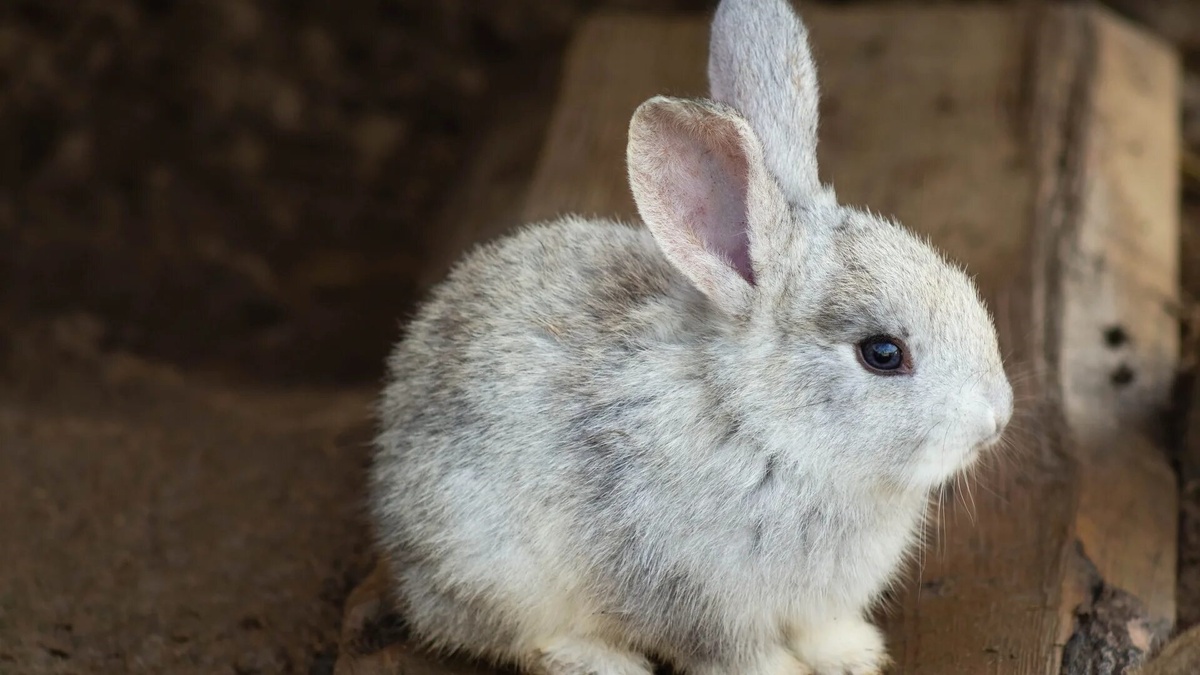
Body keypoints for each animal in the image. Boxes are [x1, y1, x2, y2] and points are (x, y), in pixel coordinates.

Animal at [369, 0, 1014, 672]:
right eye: (883, 354)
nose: (996, 419)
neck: (763, 427)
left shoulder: (816, 602)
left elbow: (822, 628)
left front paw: (854, 654)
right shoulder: (694, 597)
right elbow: (735, 651)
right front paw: (787, 670)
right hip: (494, 567)